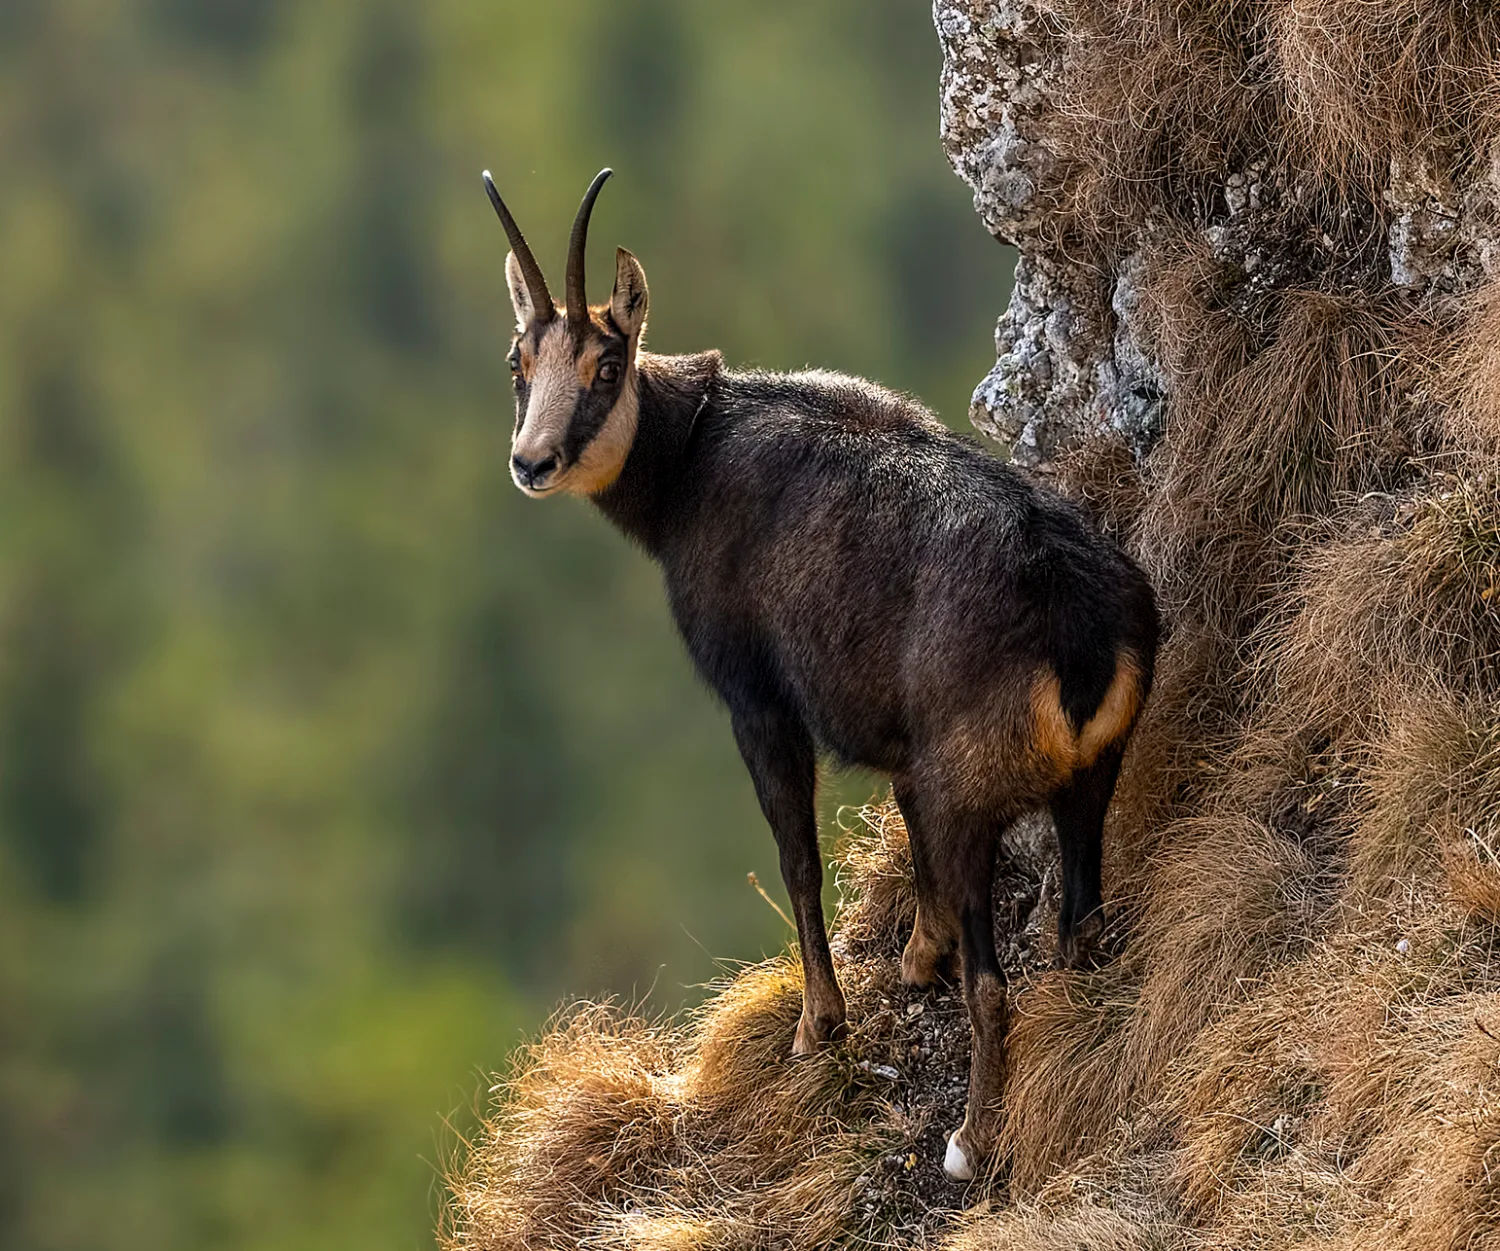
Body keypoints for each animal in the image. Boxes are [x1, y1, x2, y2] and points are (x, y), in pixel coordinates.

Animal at [480, 167, 1159, 1180]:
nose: (534, 461)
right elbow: (901, 820)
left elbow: (796, 855)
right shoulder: (902, 740)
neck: (694, 458)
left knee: (996, 984)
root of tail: (1078, 629)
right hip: (1090, 777)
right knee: (1079, 929)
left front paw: (818, 1025)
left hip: (974, 791)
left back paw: (969, 1138)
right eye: (519, 363)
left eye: (605, 366)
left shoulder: (757, 699)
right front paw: (918, 956)